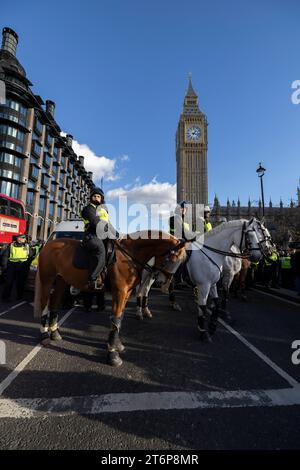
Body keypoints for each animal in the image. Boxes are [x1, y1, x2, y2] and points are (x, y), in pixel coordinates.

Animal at [34, 231, 186, 368]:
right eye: (173, 259)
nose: (163, 284)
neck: (128, 256)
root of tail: (48, 245)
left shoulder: (126, 293)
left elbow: (119, 319)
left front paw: (117, 345)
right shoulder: (120, 292)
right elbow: (116, 318)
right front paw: (113, 355)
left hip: (61, 281)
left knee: (54, 304)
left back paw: (54, 333)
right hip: (47, 280)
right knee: (44, 304)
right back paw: (44, 336)